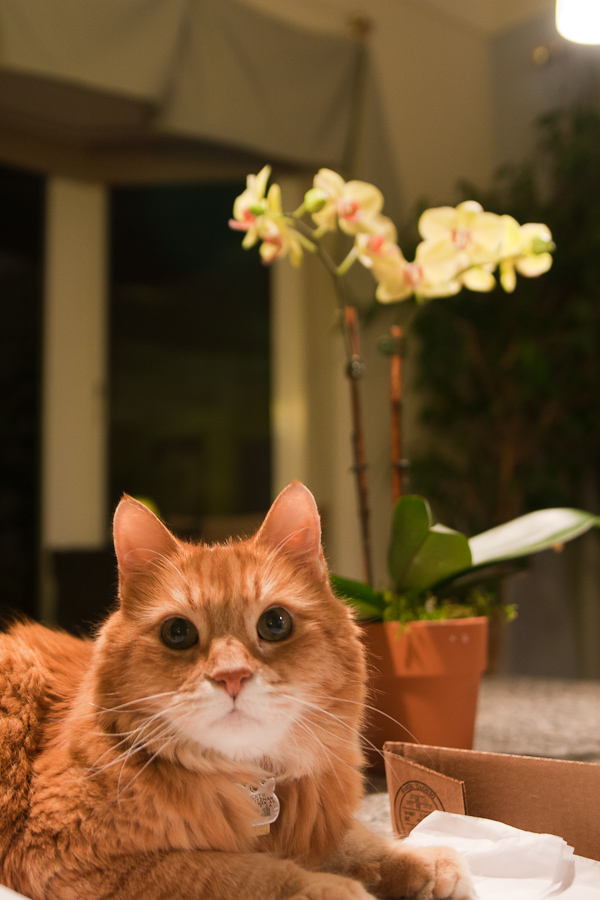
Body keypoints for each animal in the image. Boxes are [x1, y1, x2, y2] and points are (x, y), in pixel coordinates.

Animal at [0, 482, 472, 896]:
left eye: (275, 623)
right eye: (177, 633)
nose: (231, 676)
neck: (249, 780)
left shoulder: (315, 821)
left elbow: (359, 842)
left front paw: (423, 861)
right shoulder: (71, 856)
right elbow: (240, 872)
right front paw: (329, 888)